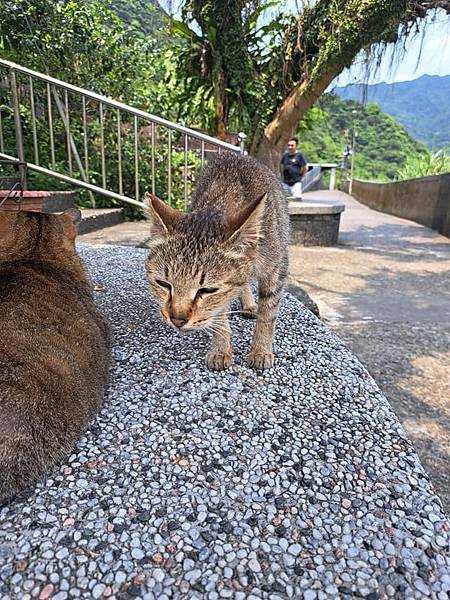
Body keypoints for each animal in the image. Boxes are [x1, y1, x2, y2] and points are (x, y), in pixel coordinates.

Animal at [146, 151, 290, 370]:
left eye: (207, 290)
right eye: (163, 284)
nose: (177, 319)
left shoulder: (277, 269)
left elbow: (268, 313)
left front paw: (261, 350)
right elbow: (219, 315)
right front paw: (221, 349)